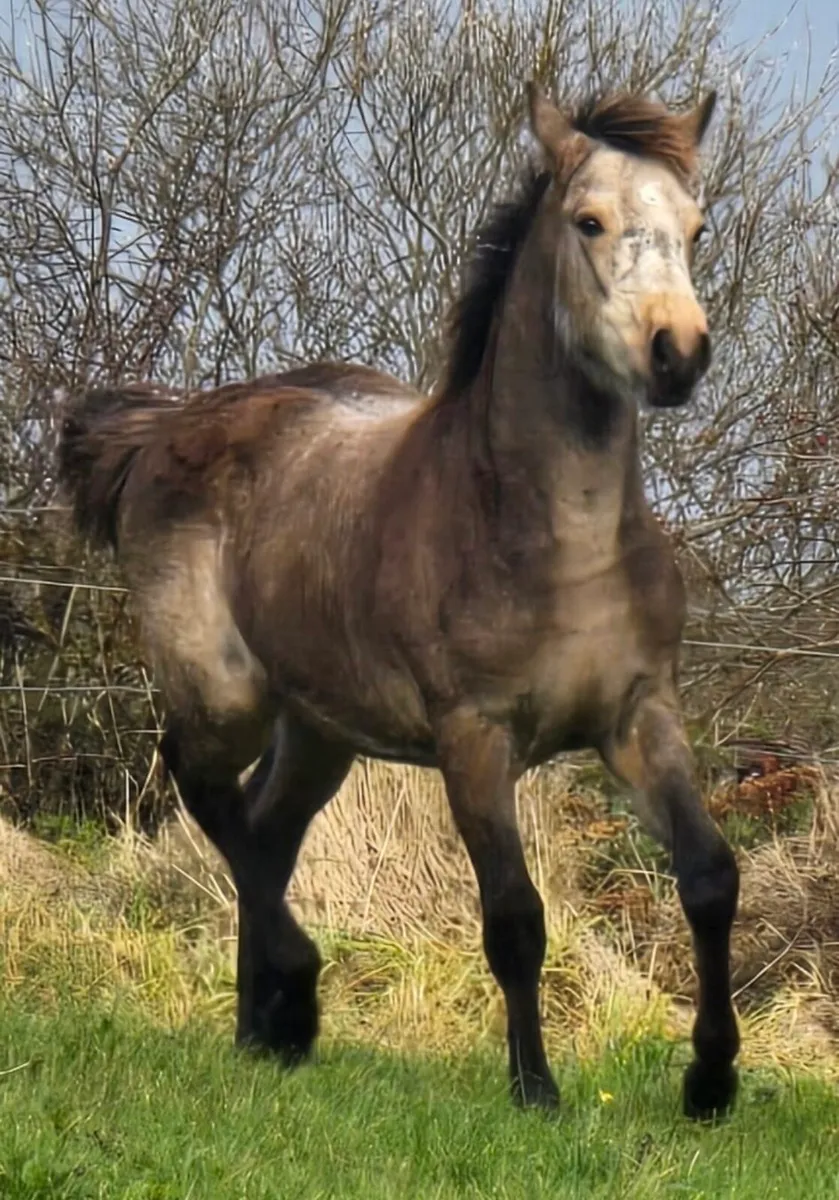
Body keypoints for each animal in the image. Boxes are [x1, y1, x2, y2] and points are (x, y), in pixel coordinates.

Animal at [58, 81, 739, 1121]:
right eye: (588, 221)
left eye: (697, 229)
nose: (678, 352)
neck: (551, 538)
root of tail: (166, 426)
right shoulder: (474, 737)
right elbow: (513, 915)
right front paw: (535, 1090)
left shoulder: (638, 717)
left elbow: (708, 877)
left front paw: (710, 1081)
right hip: (224, 692)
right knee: (202, 789)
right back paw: (295, 998)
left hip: (318, 728)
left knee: (264, 831)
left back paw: (263, 1033)